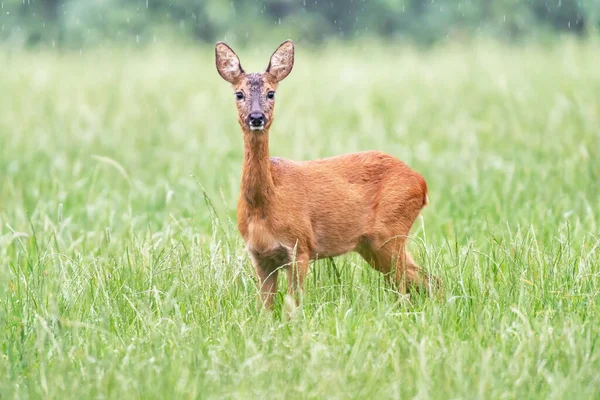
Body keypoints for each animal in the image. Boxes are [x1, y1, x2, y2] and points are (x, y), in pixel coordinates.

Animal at [216, 39, 440, 310]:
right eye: (239, 94)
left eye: (271, 93)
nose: (257, 117)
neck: (265, 204)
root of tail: (422, 183)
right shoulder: (260, 255)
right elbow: (265, 308)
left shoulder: (300, 246)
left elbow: (294, 304)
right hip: (371, 245)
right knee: (426, 279)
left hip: (390, 232)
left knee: (410, 285)